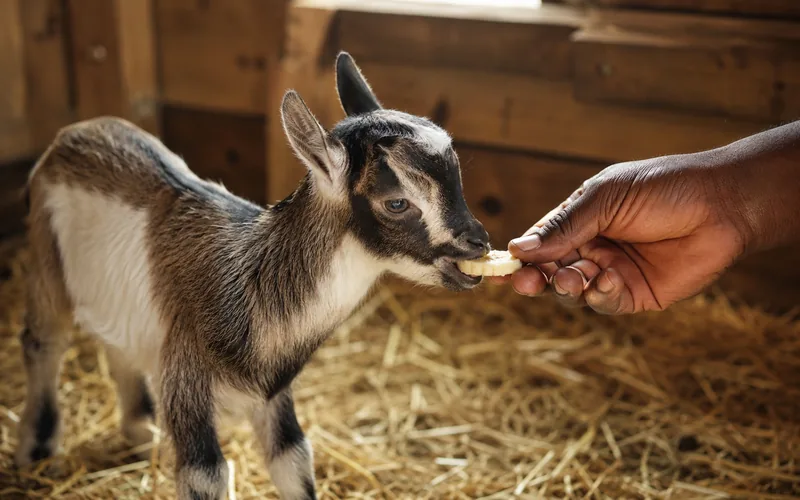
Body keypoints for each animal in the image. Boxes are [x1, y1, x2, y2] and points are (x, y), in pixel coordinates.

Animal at [14, 52, 490, 499]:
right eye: (396, 203)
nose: (478, 244)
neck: (247, 281)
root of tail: (74, 133)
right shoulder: (186, 383)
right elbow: (206, 475)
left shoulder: (275, 393)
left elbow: (293, 460)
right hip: (45, 259)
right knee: (44, 342)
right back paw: (36, 453)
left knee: (117, 346)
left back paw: (140, 433)